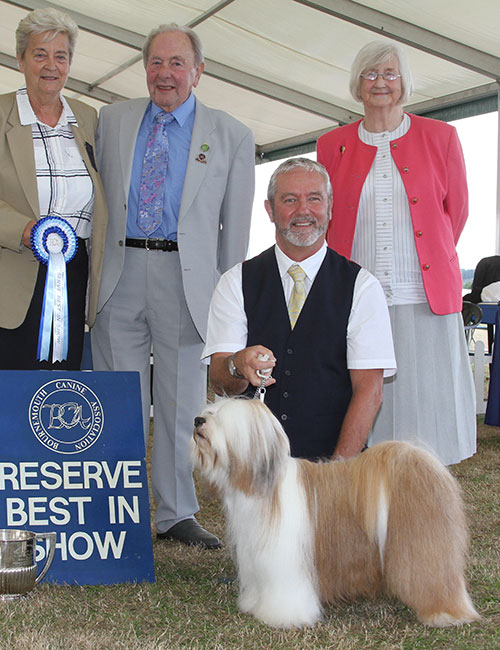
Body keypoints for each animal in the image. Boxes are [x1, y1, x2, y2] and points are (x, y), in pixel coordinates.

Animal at [191, 394, 480, 628]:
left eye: (220, 417)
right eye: (209, 411)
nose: (197, 420)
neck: (261, 488)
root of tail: (417, 461)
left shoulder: (286, 563)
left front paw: (282, 617)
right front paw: (253, 605)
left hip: (422, 546)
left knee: (435, 576)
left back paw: (445, 614)